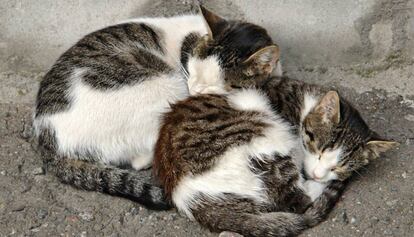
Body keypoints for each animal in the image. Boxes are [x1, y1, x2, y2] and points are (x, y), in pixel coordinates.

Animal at [32, 6, 280, 209]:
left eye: (214, 83)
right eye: (194, 69)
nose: (194, 89)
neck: (190, 40)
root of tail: (49, 142)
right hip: (164, 86)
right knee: (141, 157)